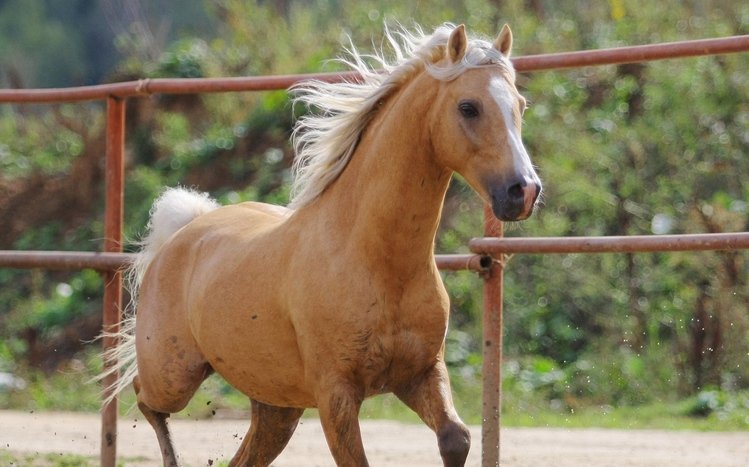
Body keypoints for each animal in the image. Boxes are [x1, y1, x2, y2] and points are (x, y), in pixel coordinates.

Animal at [101, 22, 541, 466]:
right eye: (468, 107)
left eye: (520, 105)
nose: (523, 191)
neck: (376, 260)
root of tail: (183, 230)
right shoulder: (336, 394)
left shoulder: (421, 373)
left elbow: (457, 437)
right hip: (174, 375)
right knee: (144, 398)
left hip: (277, 406)